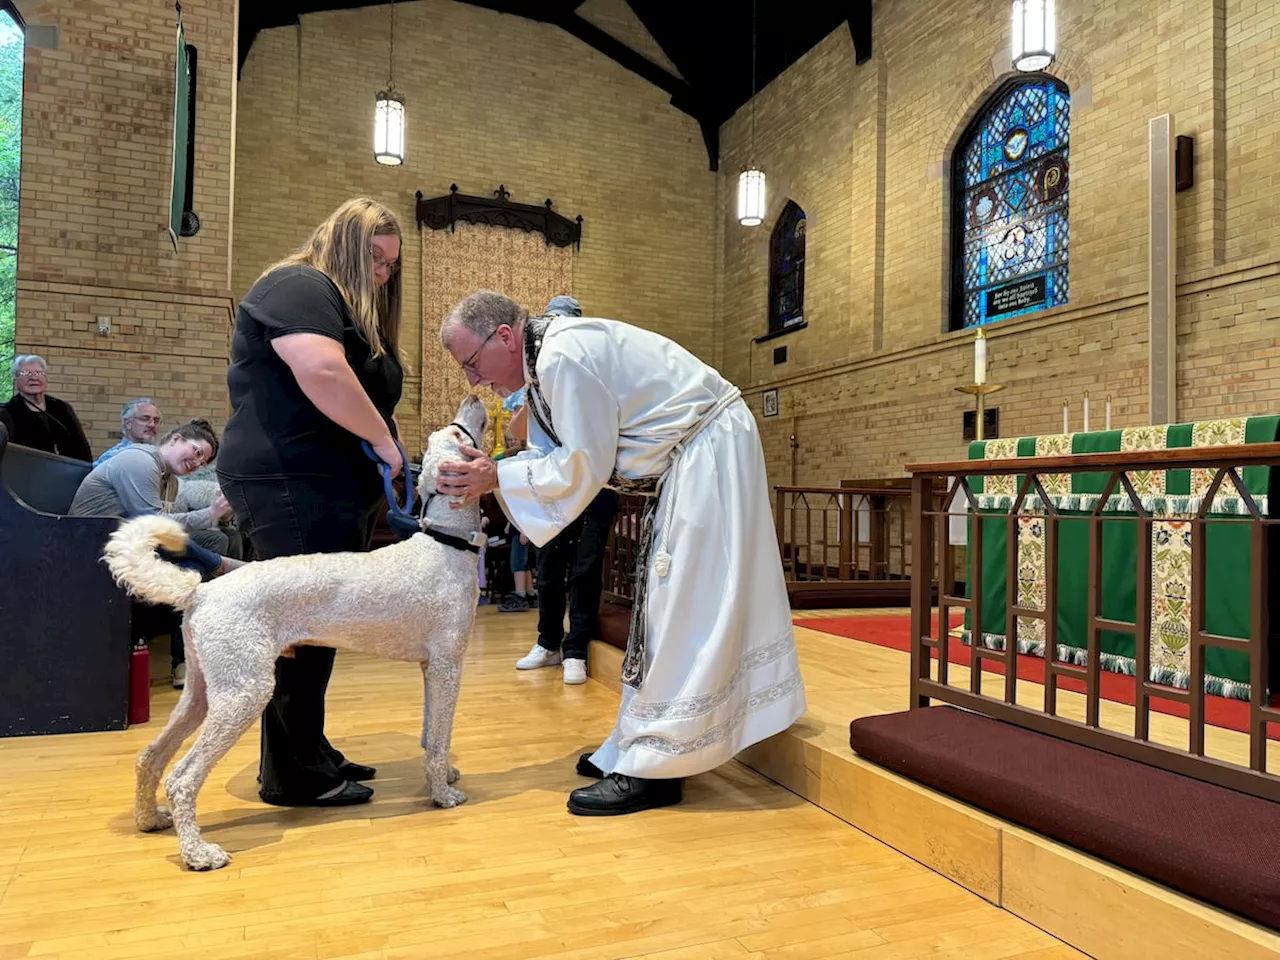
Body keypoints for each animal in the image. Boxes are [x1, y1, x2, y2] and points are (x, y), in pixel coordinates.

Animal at [103, 394, 488, 875]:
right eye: (456, 434)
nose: (474, 397)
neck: (444, 543)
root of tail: (201, 592)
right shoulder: (445, 666)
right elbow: (437, 738)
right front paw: (444, 793)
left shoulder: (428, 667)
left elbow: (428, 731)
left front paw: (445, 776)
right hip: (244, 692)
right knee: (183, 778)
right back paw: (198, 853)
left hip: (205, 690)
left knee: (150, 756)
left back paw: (150, 819)